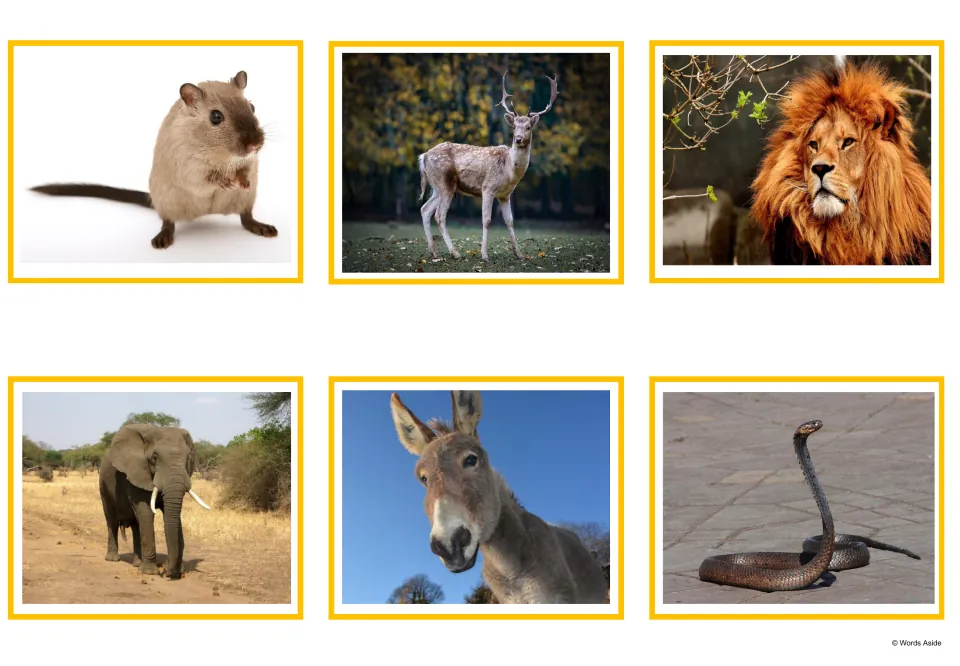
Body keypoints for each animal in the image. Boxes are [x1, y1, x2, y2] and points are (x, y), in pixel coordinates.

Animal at [99, 424, 211, 579]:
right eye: (155, 457)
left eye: (188, 457)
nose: (168, 571)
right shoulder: (137, 472)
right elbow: (146, 513)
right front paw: (150, 572)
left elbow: (171, 515)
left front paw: (177, 571)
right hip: (103, 485)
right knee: (112, 521)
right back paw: (113, 559)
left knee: (136, 526)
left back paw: (137, 563)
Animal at [417, 72, 559, 263]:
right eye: (514, 127)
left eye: (529, 127)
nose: (518, 139)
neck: (509, 171)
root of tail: (423, 156)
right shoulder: (488, 187)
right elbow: (487, 219)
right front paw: (484, 255)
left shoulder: (505, 195)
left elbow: (510, 221)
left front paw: (519, 254)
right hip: (444, 183)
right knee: (439, 215)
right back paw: (455, 253)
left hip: (437, 186)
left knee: (425, 209)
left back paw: (436, 254)